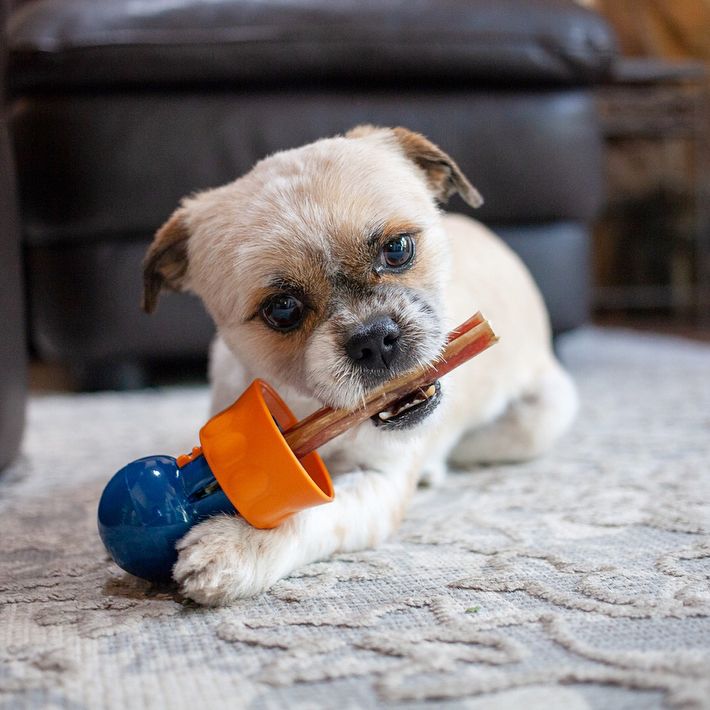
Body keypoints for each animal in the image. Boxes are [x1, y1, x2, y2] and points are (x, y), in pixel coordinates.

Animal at [143, 126, 580, 608]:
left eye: (398, 249)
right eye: (282, 309)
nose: (373, 338)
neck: (310, 411)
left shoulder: (378, 483)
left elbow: (307, 516)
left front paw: (236, 542)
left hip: (543, 414)